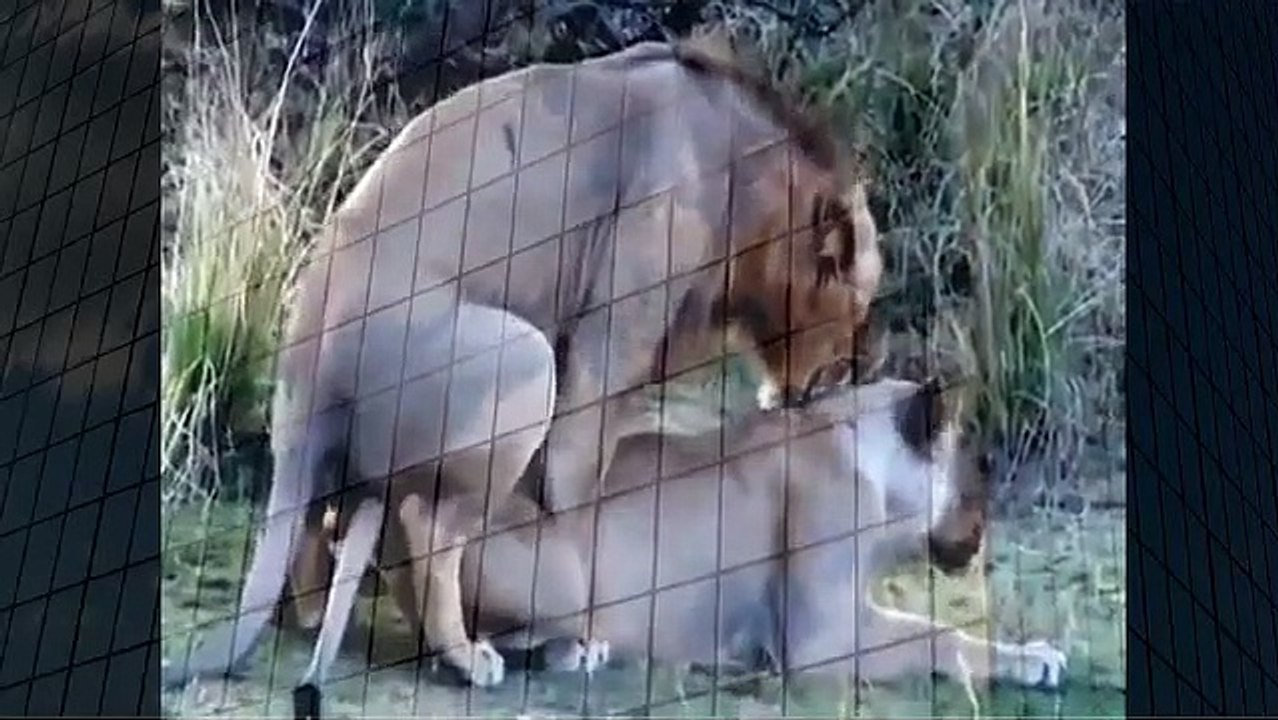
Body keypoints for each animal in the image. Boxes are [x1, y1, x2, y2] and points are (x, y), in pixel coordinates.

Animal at [163, 34, 882, 715]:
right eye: (861, 300)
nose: (858, 367)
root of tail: (308, 367)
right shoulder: (605, 344)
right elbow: (573, 492)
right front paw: (581, 639)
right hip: (527, 357)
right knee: (430, 524)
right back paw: (466, 657)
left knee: (325, 520)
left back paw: (318, 617)